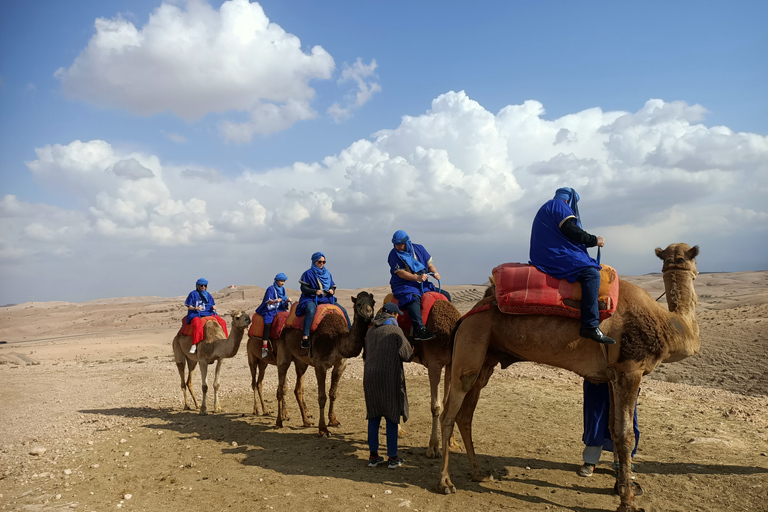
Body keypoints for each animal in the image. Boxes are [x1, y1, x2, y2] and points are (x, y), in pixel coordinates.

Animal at [276, 292, 376, 436]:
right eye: (358, 303)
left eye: (373, 302)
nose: (369, 313)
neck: (336, 340)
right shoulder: (320, 366)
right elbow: (322, 397)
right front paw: (323, 429)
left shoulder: (341, 364)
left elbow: (333, 393)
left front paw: (333, 421)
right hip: (283, 351)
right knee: (280, 386)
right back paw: (279, 422)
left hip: (301, 361)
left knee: (298, 388)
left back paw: (306, 421)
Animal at [438, 243, 704, 512]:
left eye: (684, 257)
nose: (693, 270)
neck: (670, 324)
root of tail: (469, 313)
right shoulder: (629, 370)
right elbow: (625, 434)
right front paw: (627, 501)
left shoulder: (613, 376)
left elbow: (611, 428)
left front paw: (621, 487)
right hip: (472, 340)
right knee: (449, 413)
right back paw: (446, 483)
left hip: (487, 356)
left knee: (466, 414)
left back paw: (479, 473)